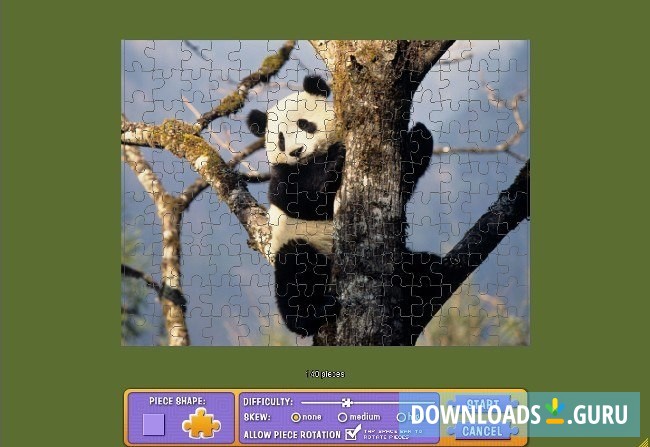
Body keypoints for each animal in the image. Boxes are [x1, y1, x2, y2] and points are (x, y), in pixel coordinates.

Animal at [247, 75, 434, 336]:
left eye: (305, 124)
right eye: (281, 140)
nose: (296, 151)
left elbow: (404, 181)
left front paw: (418, 136)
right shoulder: (282, 175)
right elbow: (297, 199)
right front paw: (334, 160)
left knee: (416, 265)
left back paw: (425, 276)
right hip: (301, 243)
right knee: (295, 267)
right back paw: (311, 314)